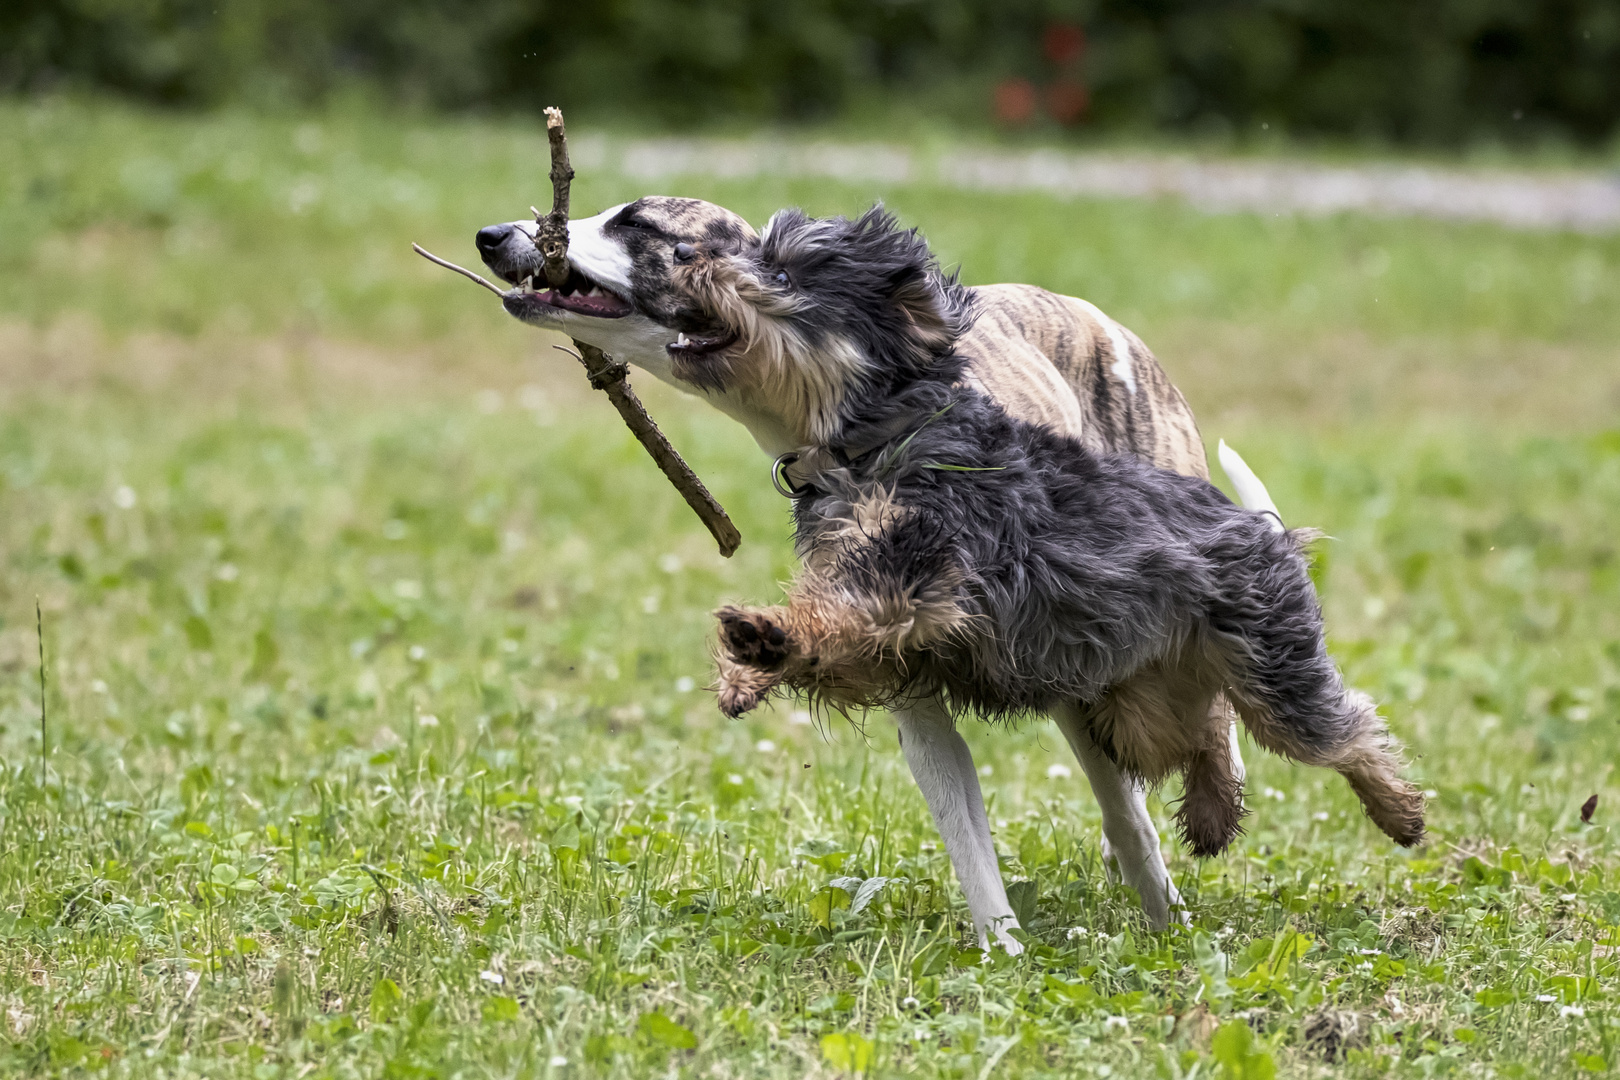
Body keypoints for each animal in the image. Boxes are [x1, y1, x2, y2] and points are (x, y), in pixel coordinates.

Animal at [473, 198, 1425, 952]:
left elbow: (841, 615)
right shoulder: (909, 678)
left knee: (1331, 733)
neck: (864, 439)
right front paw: (750, 661)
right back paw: (1211, 811)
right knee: (1197, 741)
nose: (495, 235)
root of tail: (1262, 530)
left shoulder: (925, 573)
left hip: (1228, 670)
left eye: (775, 270)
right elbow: (952, 815)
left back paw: (1392, 811)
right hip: (1135, 700)